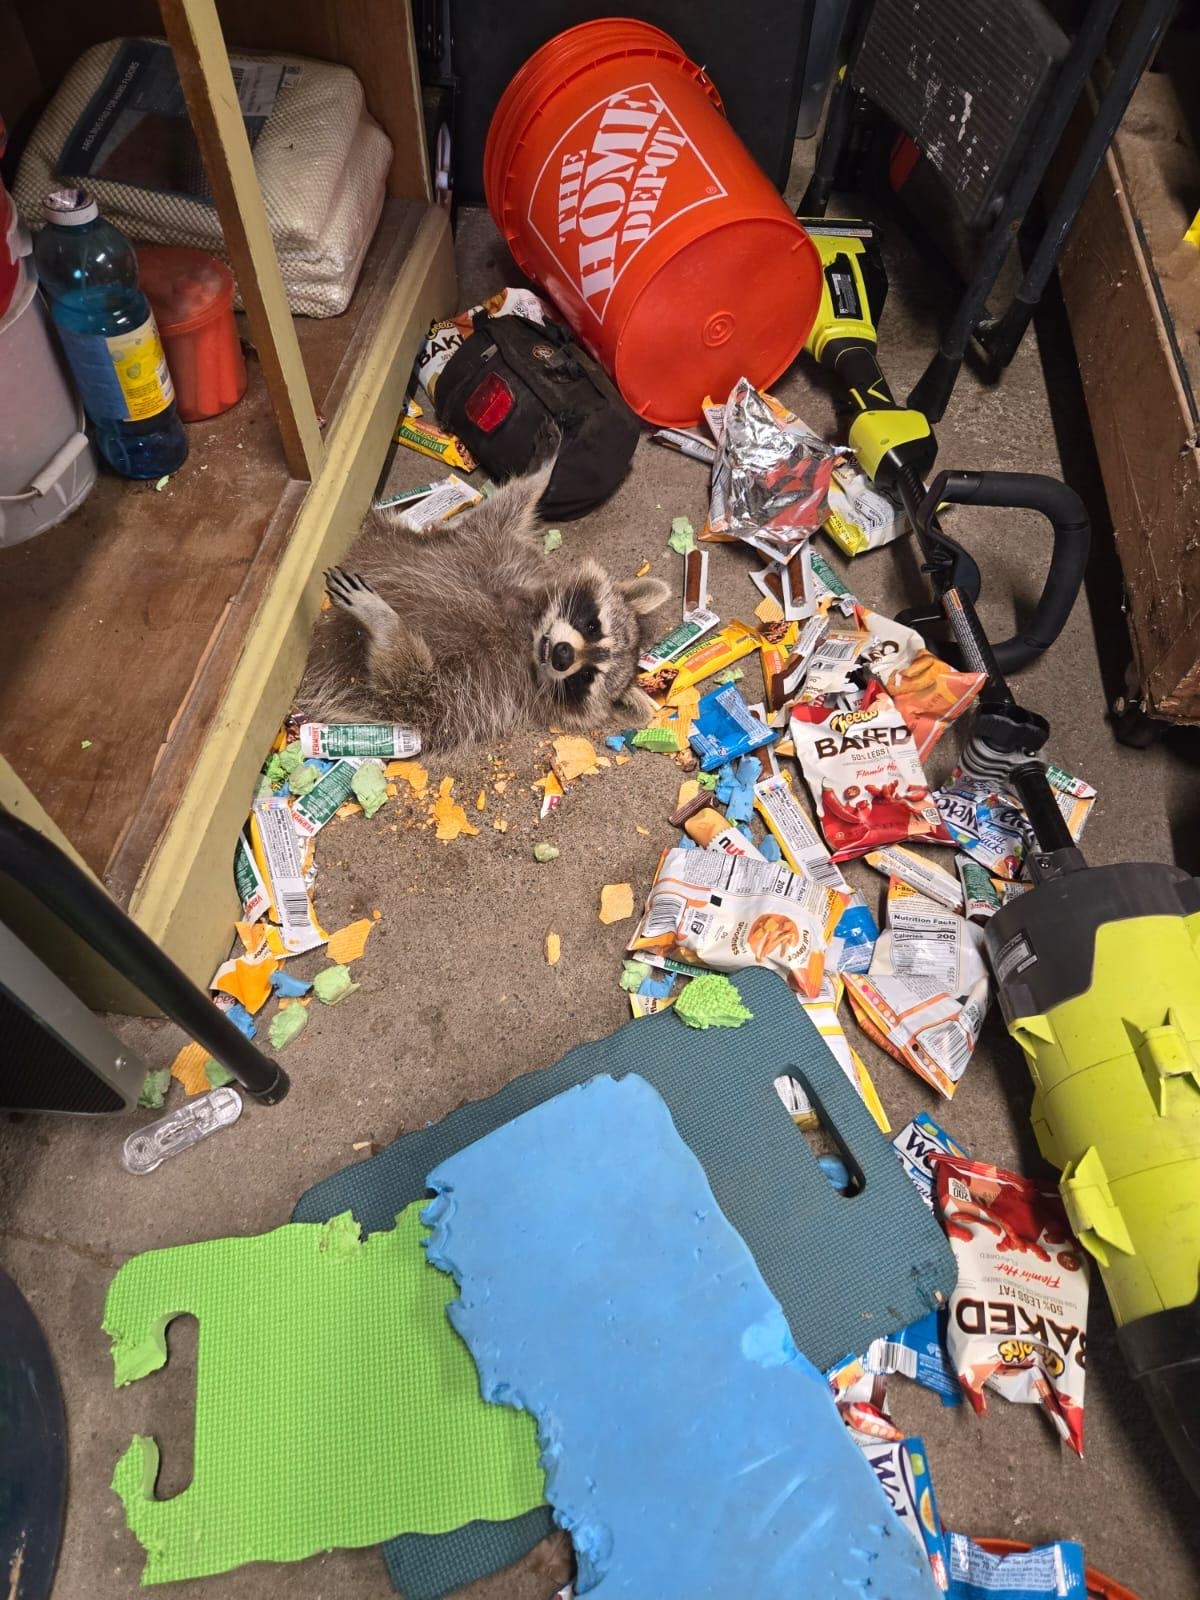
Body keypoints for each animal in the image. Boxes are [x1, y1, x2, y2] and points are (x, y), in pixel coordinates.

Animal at [299, 460, 678, 752]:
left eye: (587, 677)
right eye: (592, 625)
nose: (563, 655)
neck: (528, 628)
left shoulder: (482, 693)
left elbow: (414, 689)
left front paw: (386, 624)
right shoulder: (499, 555)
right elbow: (494, 516)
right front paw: (543, 472)